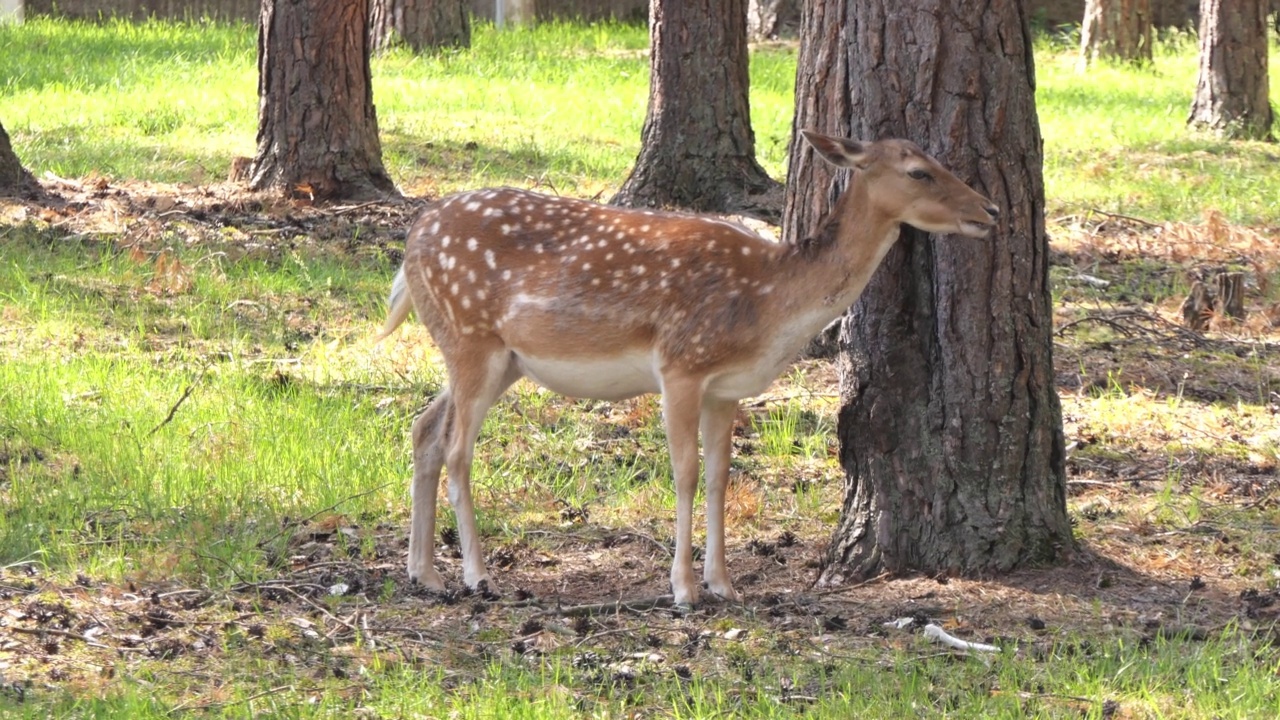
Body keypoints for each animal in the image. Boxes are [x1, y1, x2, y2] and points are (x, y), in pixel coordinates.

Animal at [378, 130, 998, 604]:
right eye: (919, 172)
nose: (990, 210)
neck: (770, 304)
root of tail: (411, 245)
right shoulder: (680, 363)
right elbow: (686, 473)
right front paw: (683, 589)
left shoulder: (726, 389)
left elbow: (722, 475)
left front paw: (723, 584)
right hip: (471, 335)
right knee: (457, 448)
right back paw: (476, 575)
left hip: (497, 356)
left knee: (423, 429)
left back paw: (424, 572)